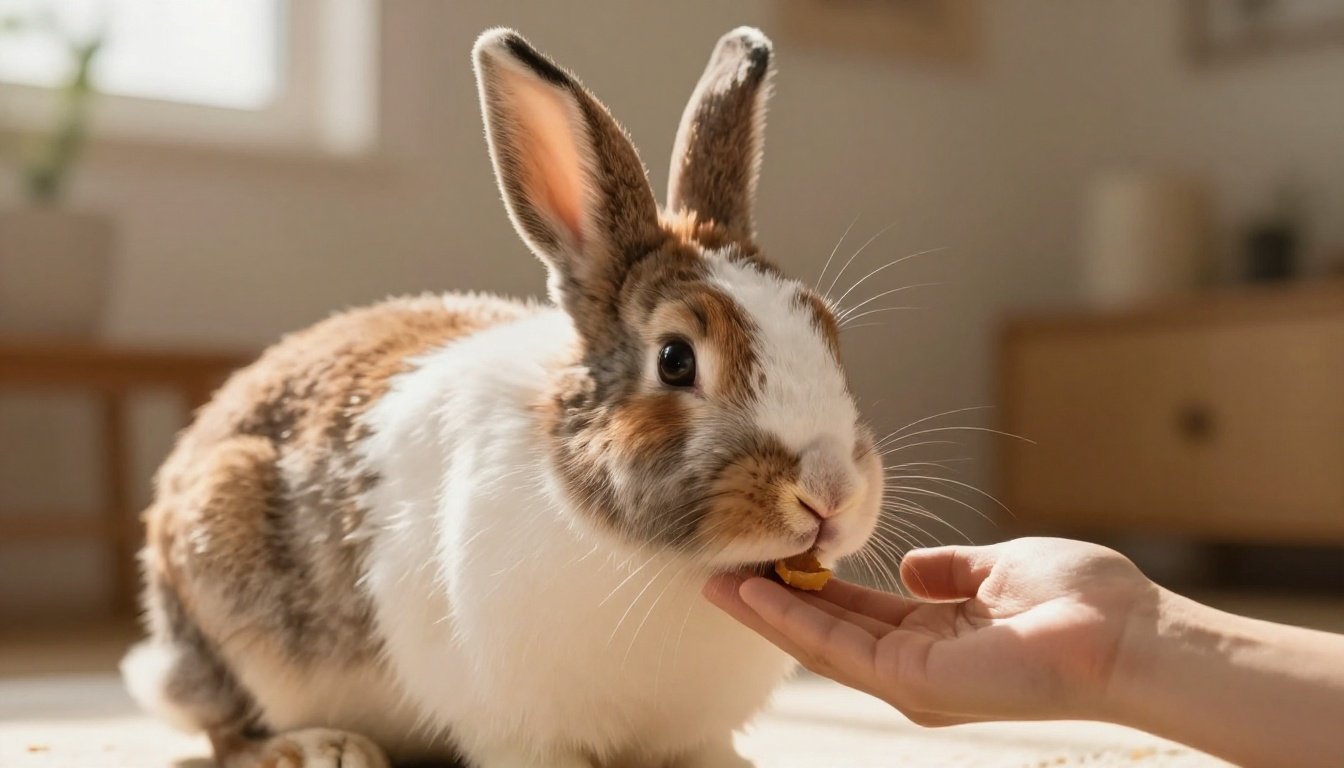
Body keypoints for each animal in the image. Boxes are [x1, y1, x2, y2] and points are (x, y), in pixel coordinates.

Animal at [121, 26, 883, 768]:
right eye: (675, 360)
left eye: (827, 331)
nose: (830, 493)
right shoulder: (521, 731)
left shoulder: (692, 739)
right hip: (223, 574)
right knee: (223, 728)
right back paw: (322, 749)